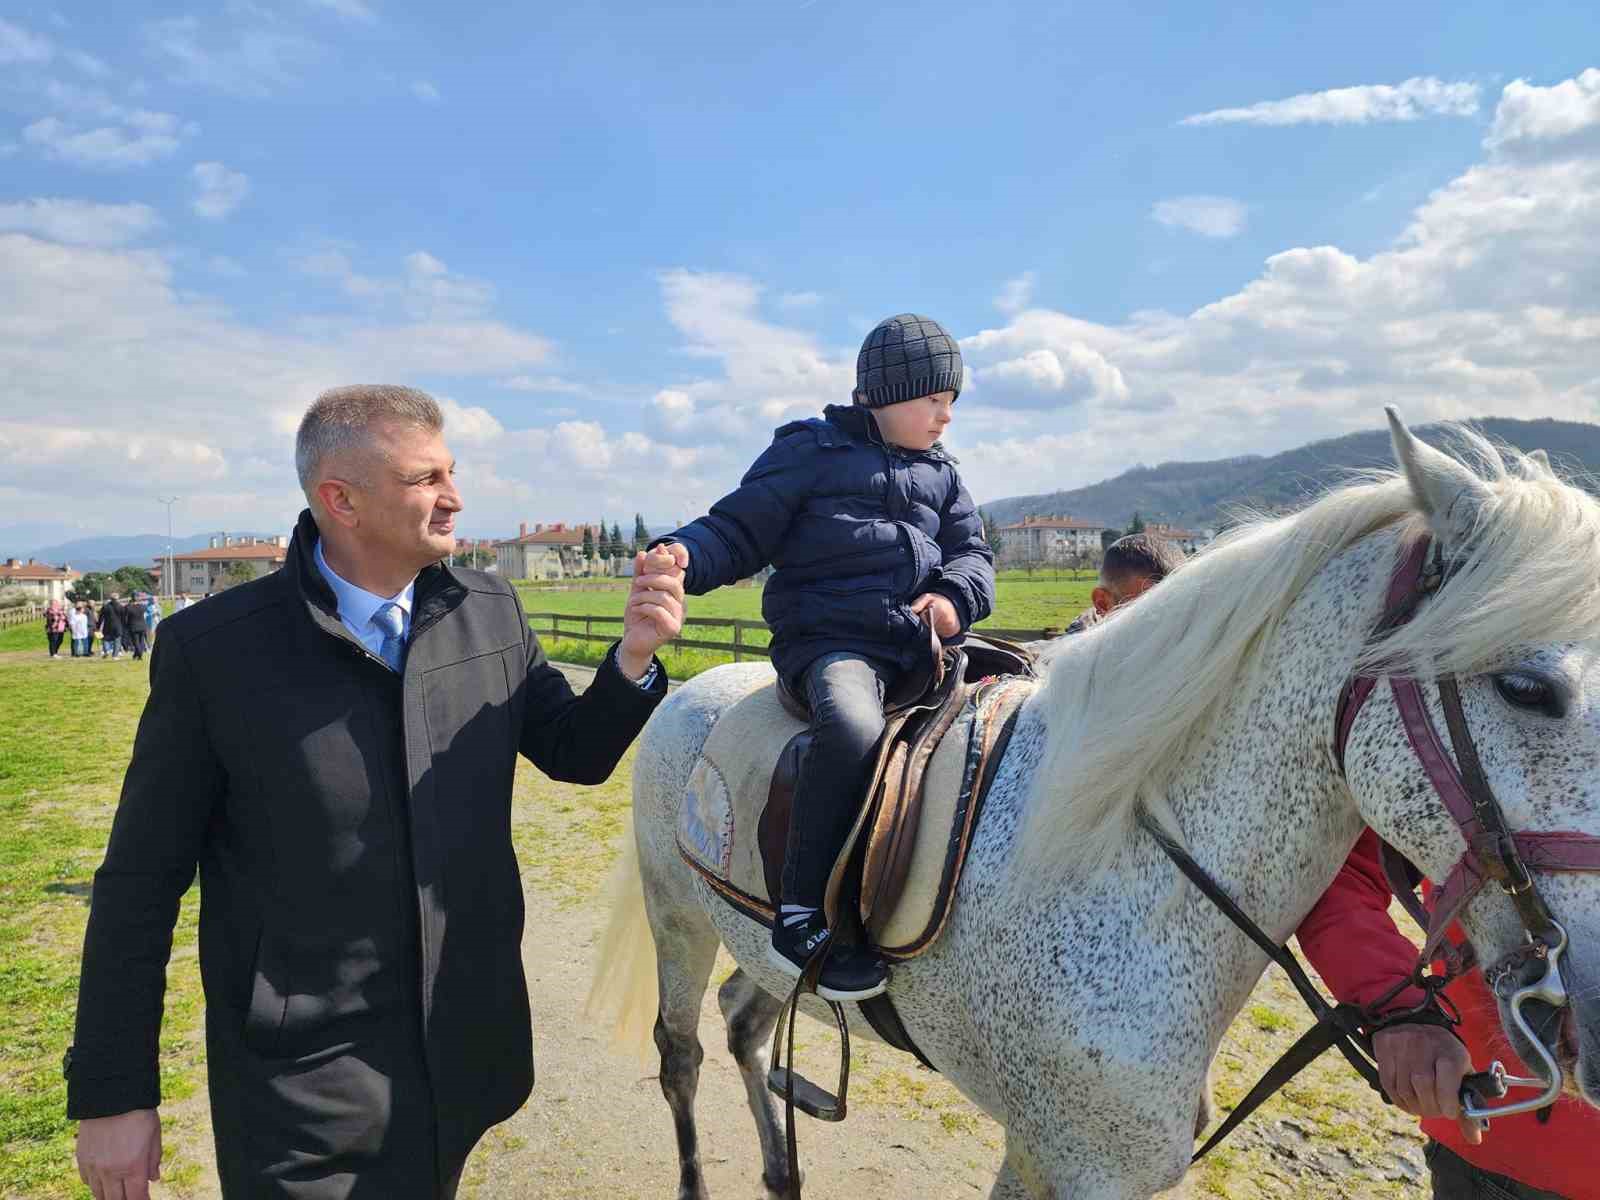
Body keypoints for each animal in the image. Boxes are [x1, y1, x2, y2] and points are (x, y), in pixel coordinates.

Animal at [588, 409, 1600, 1196]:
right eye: (1526, 687)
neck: (1129, 862)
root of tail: (692, 688)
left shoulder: (1065, 1159)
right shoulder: (1070, 1155)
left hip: (751, 945)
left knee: (746, 1024)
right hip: (677, 915)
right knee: (682, 1053)